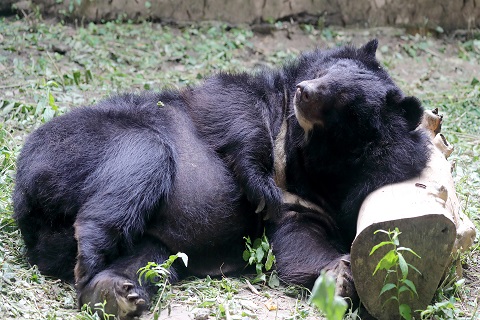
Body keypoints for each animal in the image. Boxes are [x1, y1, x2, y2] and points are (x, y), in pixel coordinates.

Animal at [13, 39, 430, 318]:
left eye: (344, 98)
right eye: (322, 73)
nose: (304, 91)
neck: (309, 159)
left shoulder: (316, 204)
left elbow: (297, 244)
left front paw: (342, 276)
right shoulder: (255, 102)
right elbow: (229, 101)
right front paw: (261, 188)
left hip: (151, 241)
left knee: (147, 259)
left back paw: (113, 291)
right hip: (74, 144)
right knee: (142, 157)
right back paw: (90, 259)